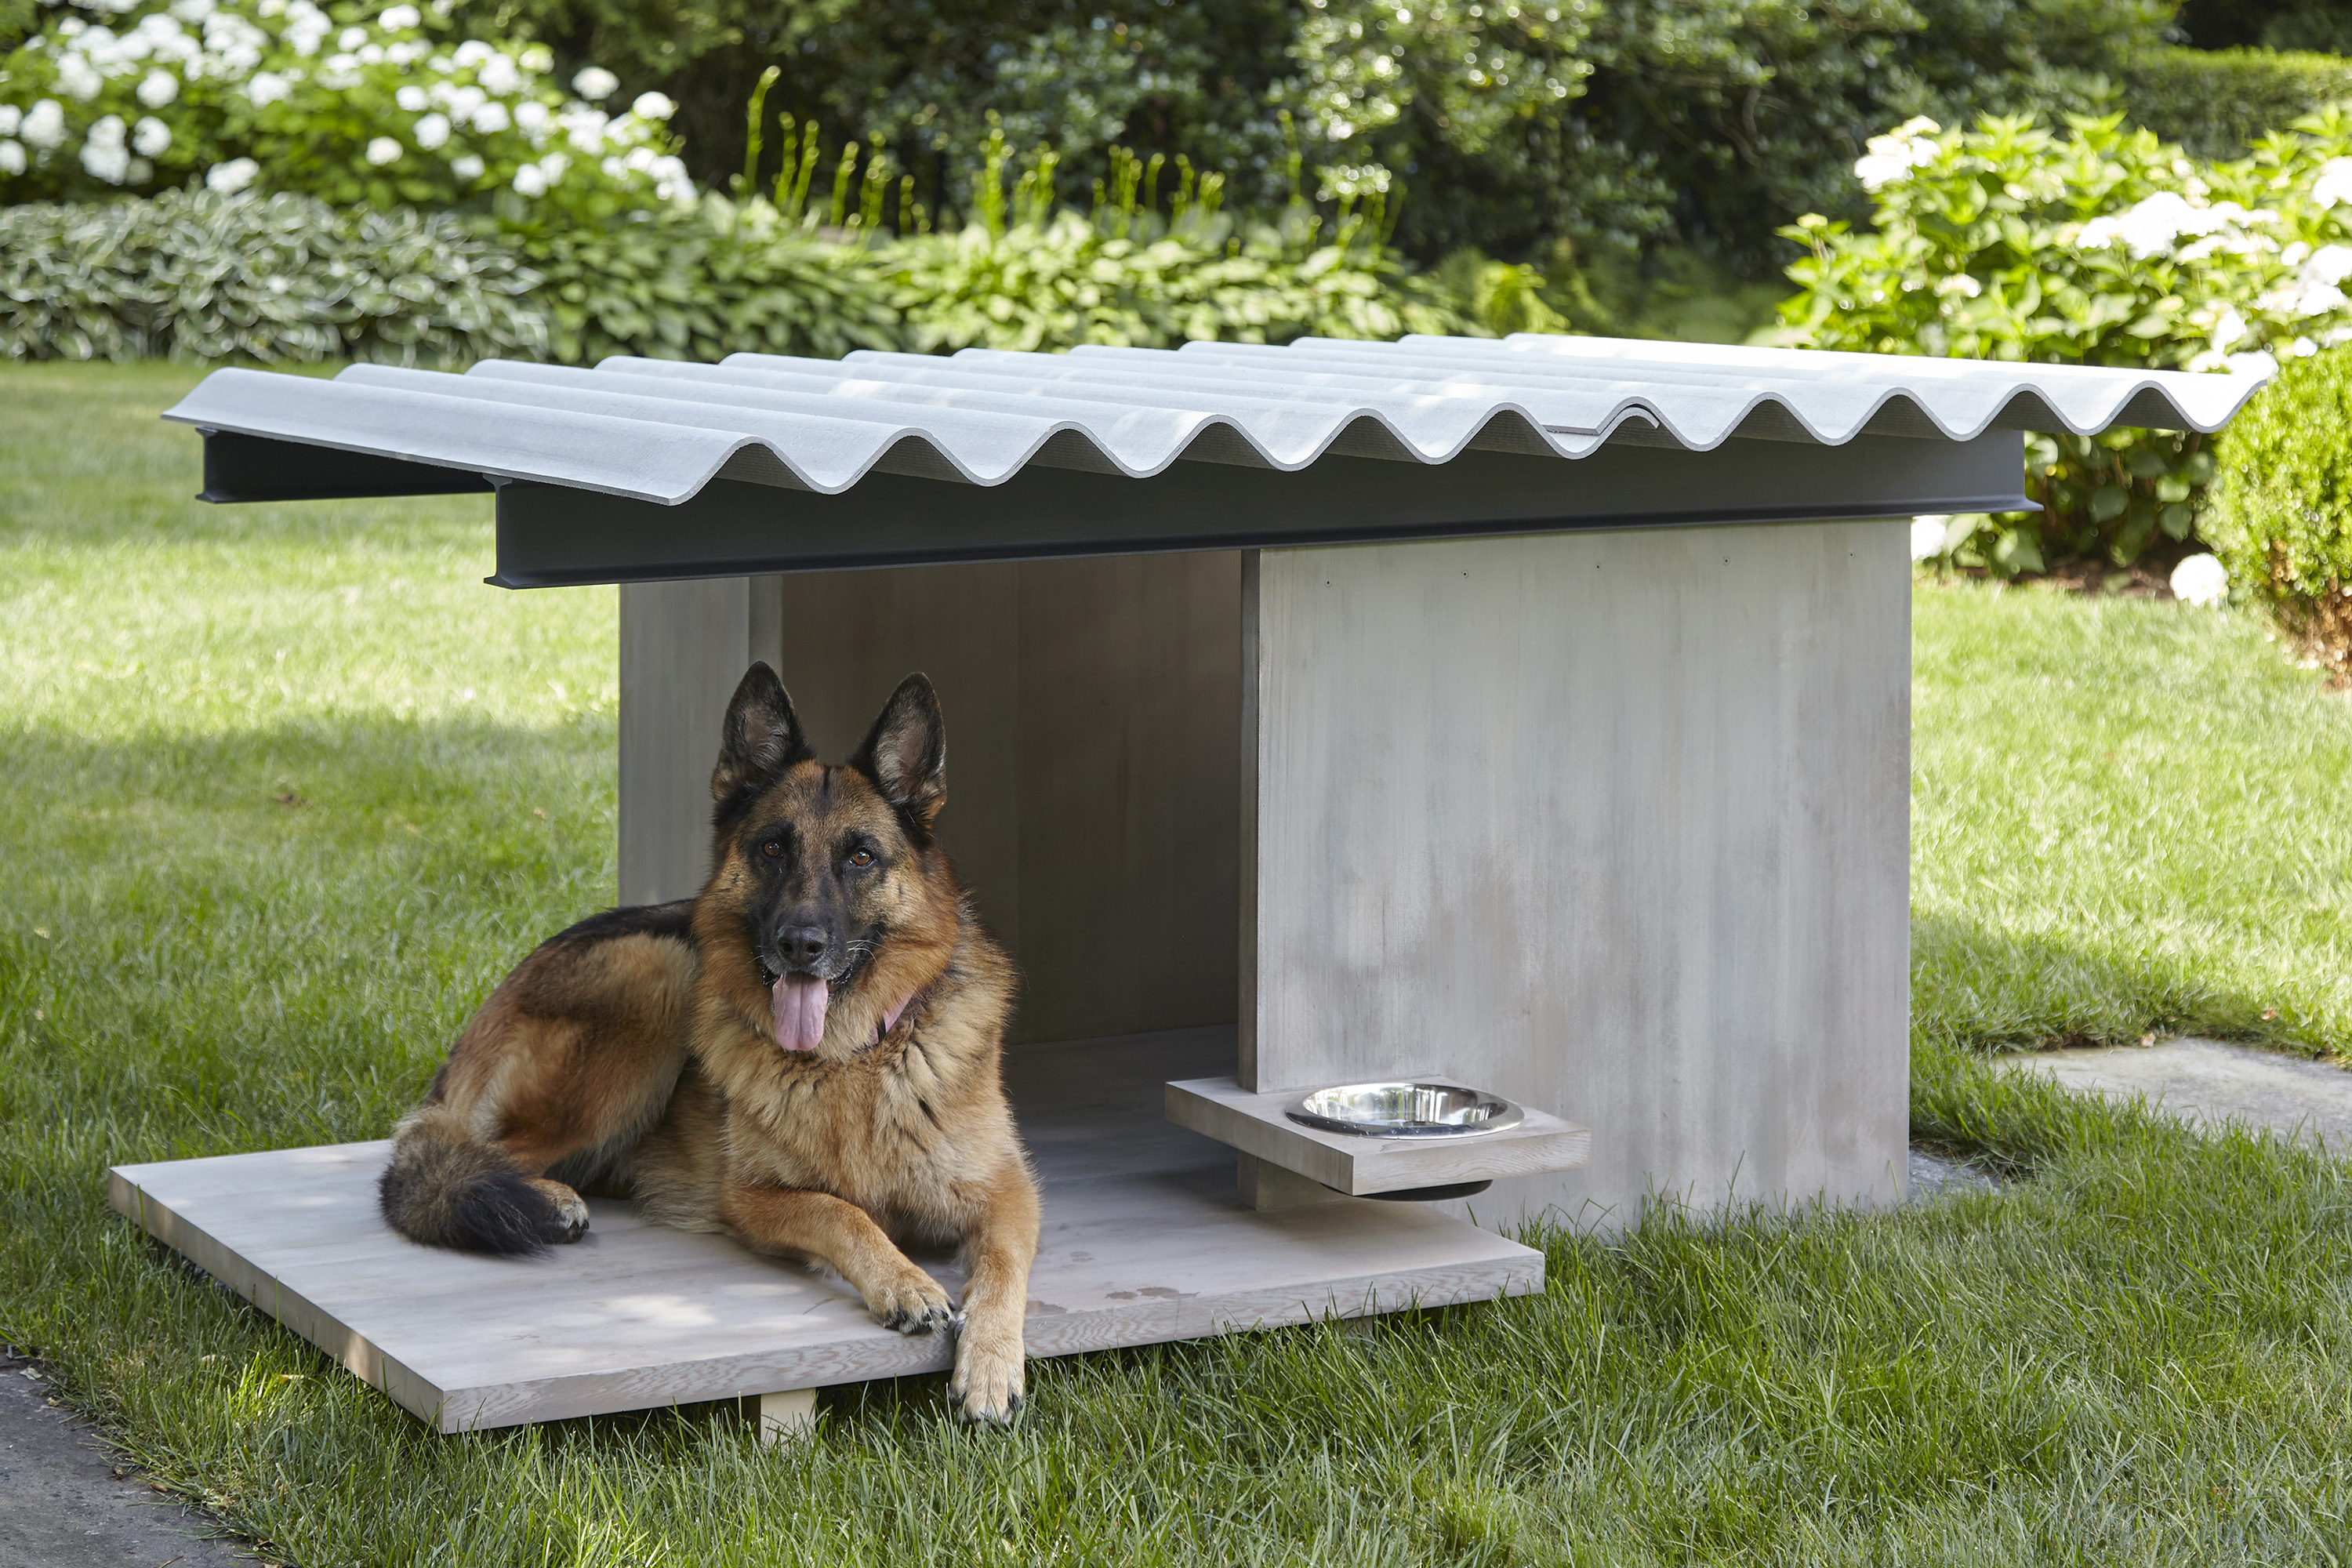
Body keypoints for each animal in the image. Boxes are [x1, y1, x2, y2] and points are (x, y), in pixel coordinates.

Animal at [379, 662, 1040, 1420]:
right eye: (773, 847)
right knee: (469, 1155)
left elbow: (1003, 1269)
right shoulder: (752, 1198)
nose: (800, 945)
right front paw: (903, 1281)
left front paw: (991, 1365)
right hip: (660, 972)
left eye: (862, 857)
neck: (856, 1059)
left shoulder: (1009, 1194)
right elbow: (840, 1211)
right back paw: (547, 1197)